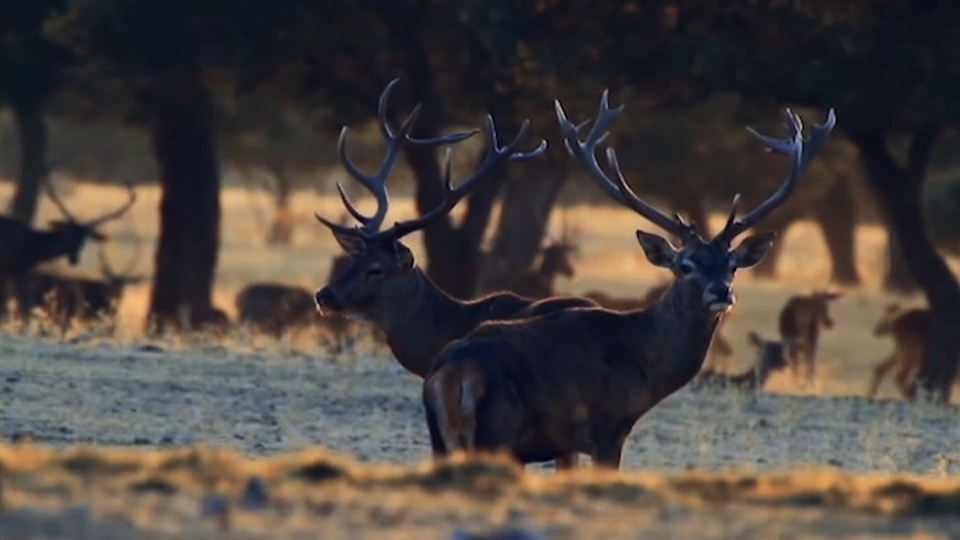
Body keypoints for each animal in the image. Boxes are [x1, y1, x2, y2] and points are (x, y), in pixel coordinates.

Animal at [0, 178, 137, 324]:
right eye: (68, 234)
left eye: (84, 239)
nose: (74, 259)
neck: (31, 250)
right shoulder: (18, 270)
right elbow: (23, 308)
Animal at [424, 88, 836, 468]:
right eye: (686, 265)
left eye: (732, 264)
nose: (722, 292)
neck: (643, 361)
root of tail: (457, 372)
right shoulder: (608, 427)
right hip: (500, 434)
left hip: (442, 439)